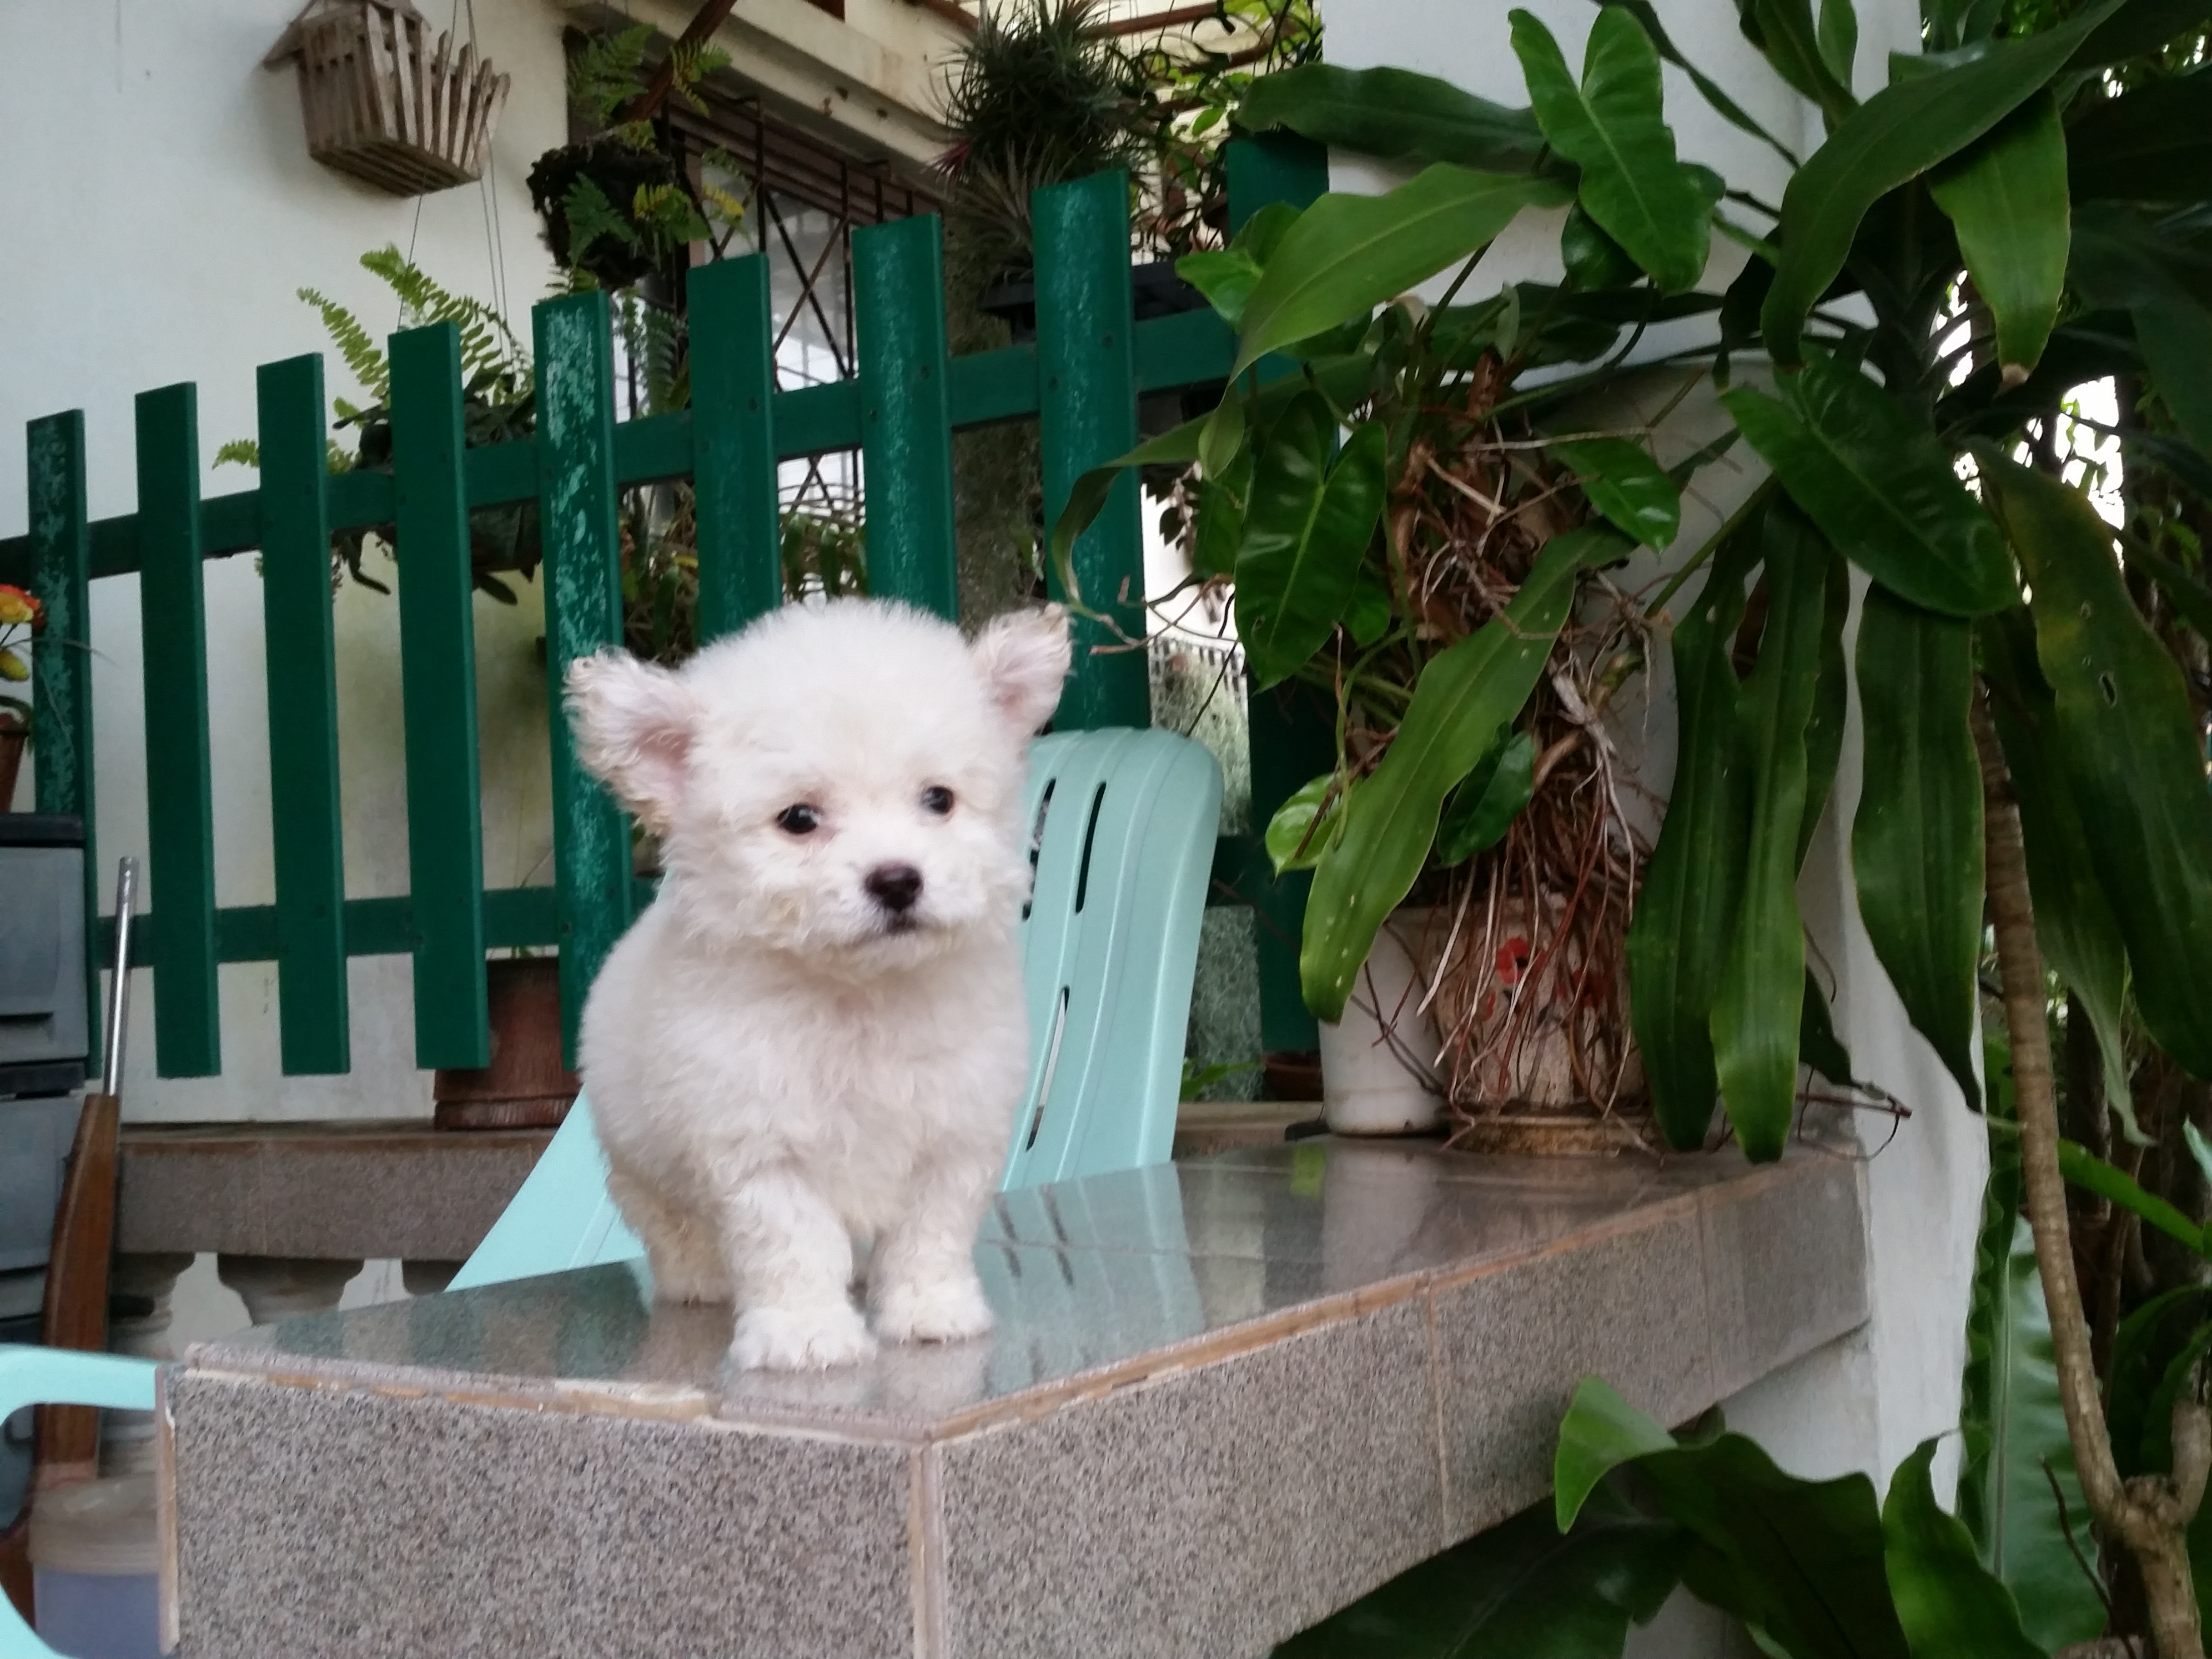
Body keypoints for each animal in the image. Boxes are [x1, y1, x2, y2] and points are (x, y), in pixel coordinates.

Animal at [564, 598, 1071, 1371]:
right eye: (798, 820)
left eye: (939, 800)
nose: (897, 879)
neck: (859, 995)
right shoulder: (762, 1146)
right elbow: (792, 1242)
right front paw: (803, 1332)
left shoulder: (954, 1134)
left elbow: (931, 1230)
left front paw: (930, 1309)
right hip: (638, 1156)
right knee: (670, 1221)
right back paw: (697, 1280)